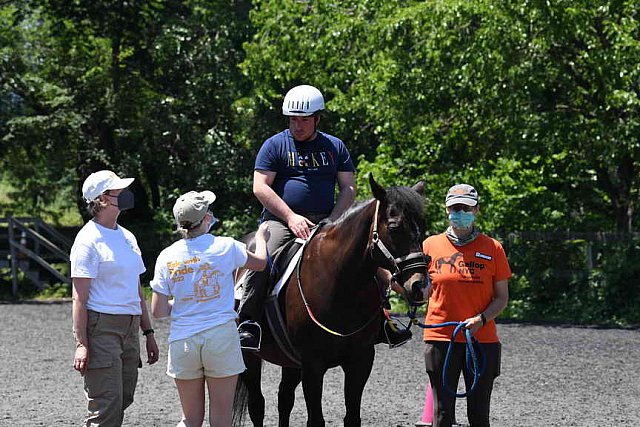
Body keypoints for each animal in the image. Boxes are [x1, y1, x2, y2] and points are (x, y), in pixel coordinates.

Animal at [232, 176, 428, 426]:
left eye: (422, 226)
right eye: (394, 227)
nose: (420, 285)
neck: (340, 283)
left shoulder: (360, 361)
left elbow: (352, 417)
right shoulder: (313, 365)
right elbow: (315, 419)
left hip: (290, 361)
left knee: (284, 398)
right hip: (249, 356)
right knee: (257, 405)